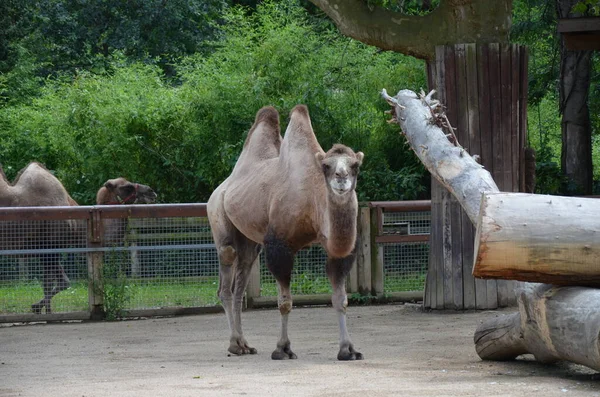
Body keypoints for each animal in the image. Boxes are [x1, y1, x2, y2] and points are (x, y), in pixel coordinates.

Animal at [0, 161, 157, 312]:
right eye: (127, 187)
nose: (151, 191)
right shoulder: (50, 247)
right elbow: (61, 283)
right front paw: (38, 308)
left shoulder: (46, 251)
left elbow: (50, 284)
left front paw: (44, 311)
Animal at [206, 104, 366, 358]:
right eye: (326, 166)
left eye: (355, 166)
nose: (341, 178)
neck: (312, 199)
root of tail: (221, 188)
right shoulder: (279, 244)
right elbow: (285, 302)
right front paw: (282, 348)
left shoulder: (338, 249)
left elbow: (340, 299)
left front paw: (348, 349)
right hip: (218, 219)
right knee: (226, 280)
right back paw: (234, 345)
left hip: (250, 241)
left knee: (240, 283)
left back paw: (245, 344)